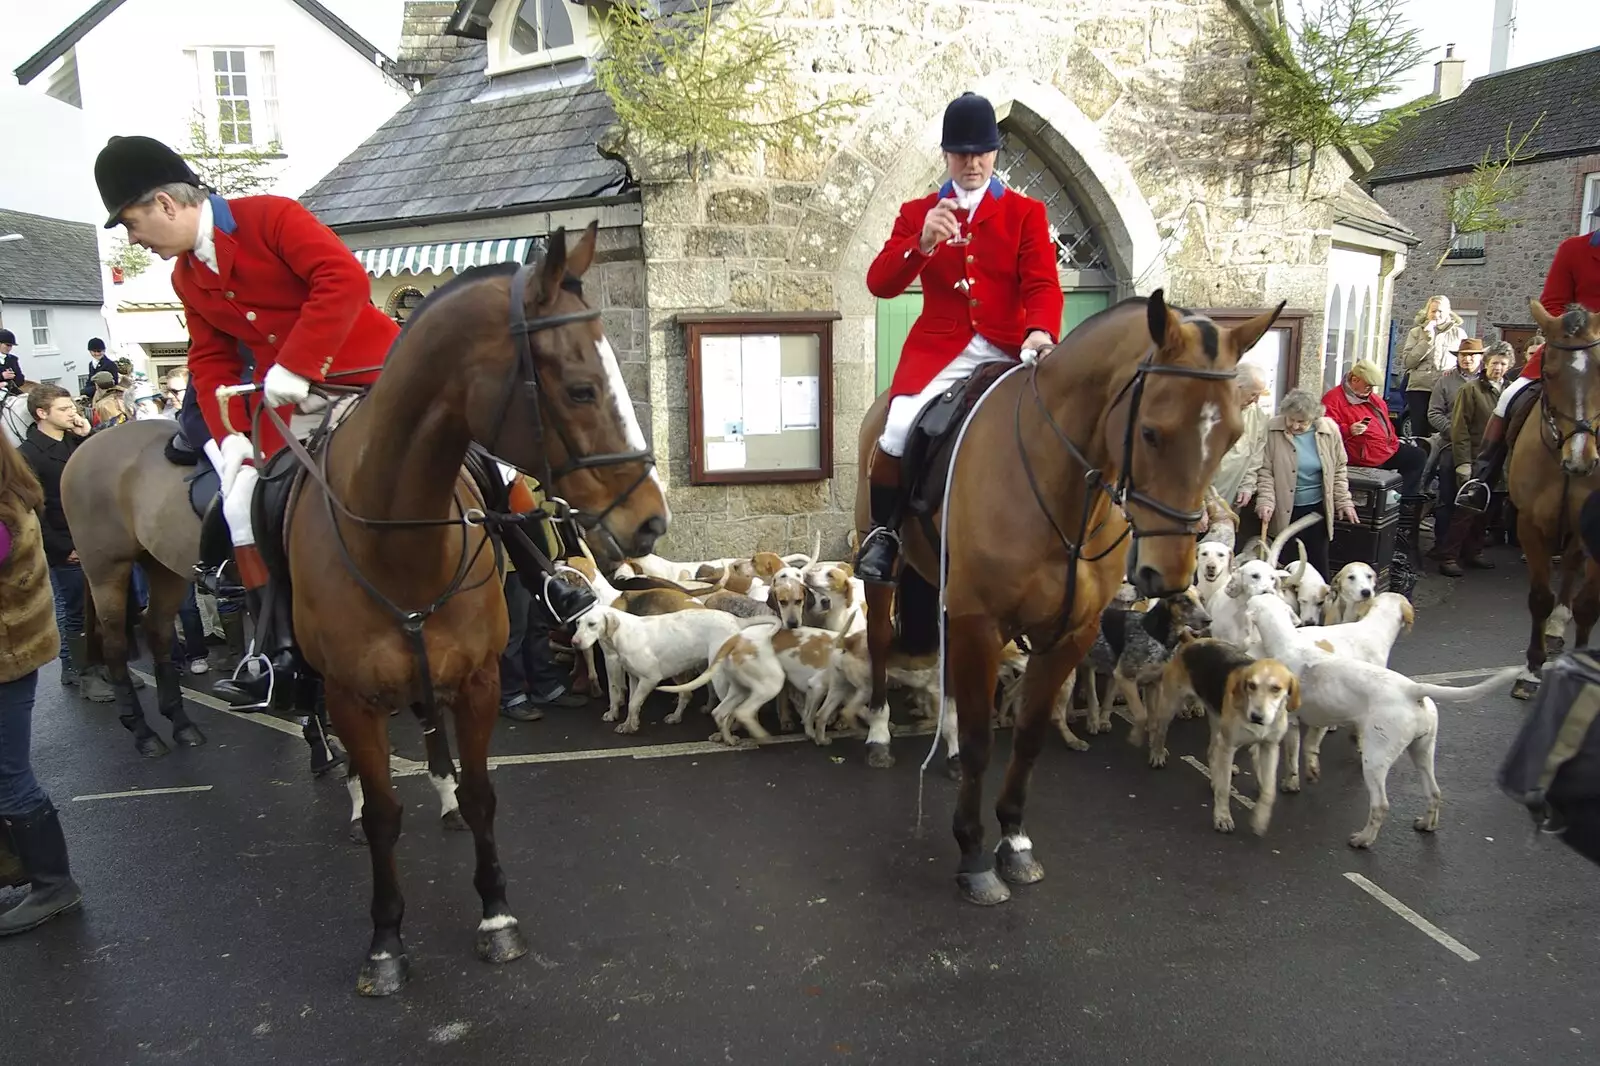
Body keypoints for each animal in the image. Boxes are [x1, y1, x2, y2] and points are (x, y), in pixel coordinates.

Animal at [284, 219, 665, 992]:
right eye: (581, 388)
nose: (650, 521)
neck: (397, 542)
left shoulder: (479, 681)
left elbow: (486, 793)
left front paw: (496, 915)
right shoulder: (353, 698)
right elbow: (385, 817)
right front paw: (385, 941)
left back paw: (446, 796)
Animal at [857, 292, 1280, 902]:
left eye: (1229, 436)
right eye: (1151, 432)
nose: (1168, 574)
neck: (1063, 492)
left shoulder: (1068, 634)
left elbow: (1030, 736)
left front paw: (1014, 840)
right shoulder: (983, 622)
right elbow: (986, 741)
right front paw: (973, 853)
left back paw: (949, 747)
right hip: (886, 577)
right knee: (877, 644)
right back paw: (879, 735)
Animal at [1497, 299, 1600, 697]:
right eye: (1551, 374)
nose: (1581, 460)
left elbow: (1588, 606)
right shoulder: (1529, 524)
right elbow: (1540, 599)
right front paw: (1531, 670)